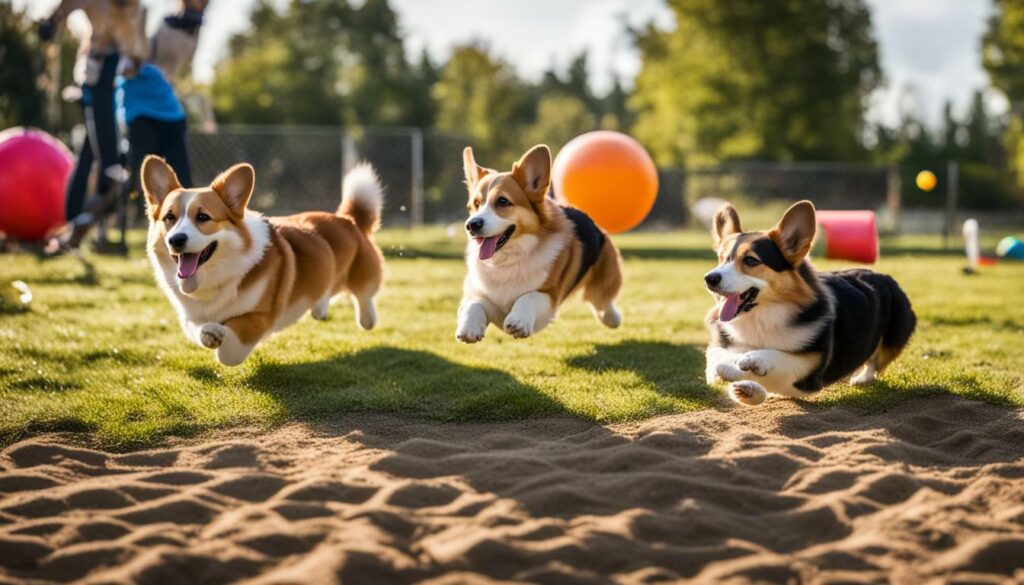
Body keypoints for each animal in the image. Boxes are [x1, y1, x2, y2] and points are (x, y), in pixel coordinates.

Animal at [143, 155, 385, 366]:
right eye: (169, 217)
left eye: (203, 217)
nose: (175, 240)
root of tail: (350, 219)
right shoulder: (190, 318)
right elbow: (198, 329)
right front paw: (209, 333)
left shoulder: (260, 318)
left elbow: (228, 352)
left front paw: (222, 335)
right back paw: (320, 308)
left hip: (364, 279)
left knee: (365, 300)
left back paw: (366, 317)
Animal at [458, 144, 622, 344]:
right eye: (475, 204)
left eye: (502, 201)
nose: (471, 225)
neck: (507, 259)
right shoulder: (479, 294)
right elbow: (473, 304)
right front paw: (469, 328)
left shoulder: (549, 296)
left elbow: (528, 297)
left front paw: (518, 322)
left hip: (605, 279)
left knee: (602, 301)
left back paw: (612, 318)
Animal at [700, 201, 917, 407]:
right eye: (721, 259)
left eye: (751, 260)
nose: (709, 278)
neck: (762, 317)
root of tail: (883, 276)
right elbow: (718, 357)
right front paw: (745, 387)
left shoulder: (808, 371)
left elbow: (779, 357)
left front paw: (751, 360)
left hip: (893, 338)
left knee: (876, 360)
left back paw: (862, 378)